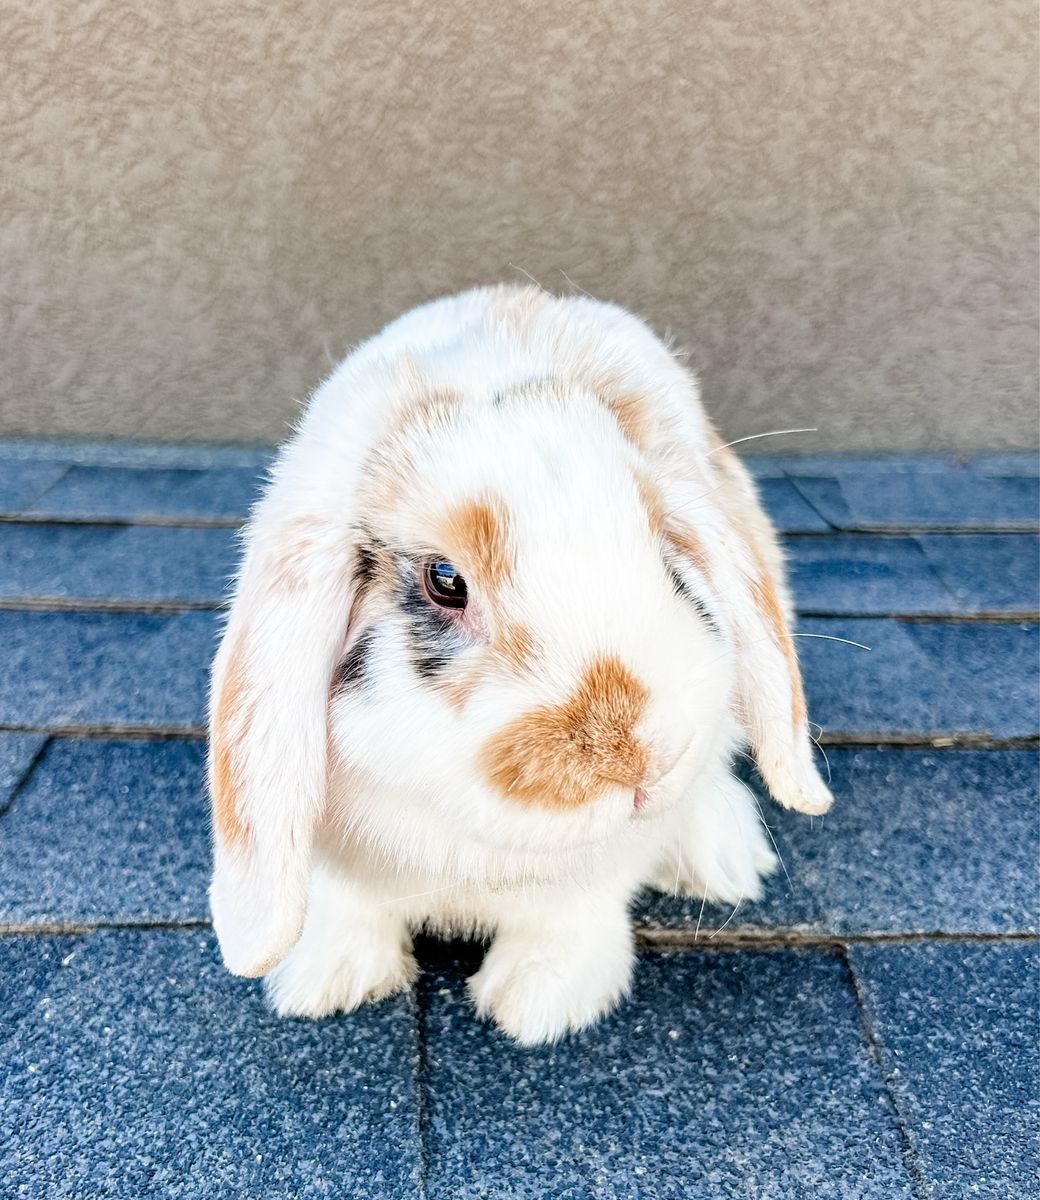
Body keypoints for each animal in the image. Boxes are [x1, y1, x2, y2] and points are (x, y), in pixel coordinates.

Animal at [207, 284, 832, 1045]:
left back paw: (724, 864)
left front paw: (536, 1005)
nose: (639, 757)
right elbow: (351, 910)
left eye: (667, 555)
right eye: (445, 580)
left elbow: (566, 923)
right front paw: (329, 982)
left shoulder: (596, 877)